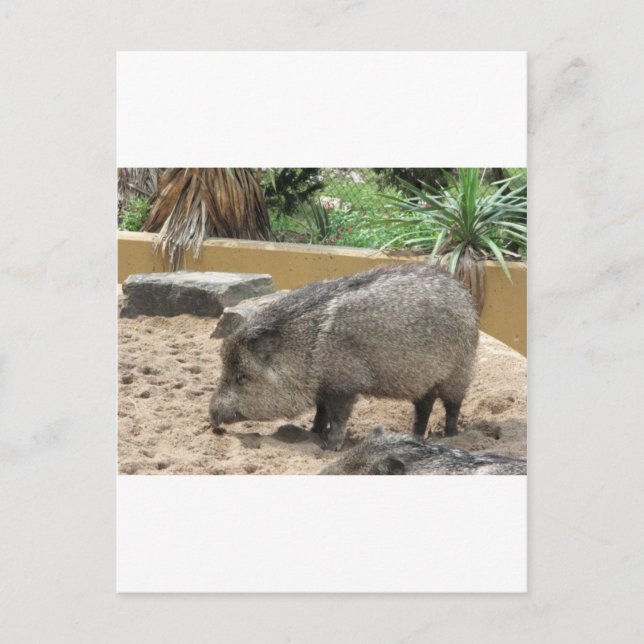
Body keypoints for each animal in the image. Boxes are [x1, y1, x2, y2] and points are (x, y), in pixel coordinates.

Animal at [209, 263, 479, 451]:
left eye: (241, 378)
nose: (211, 418)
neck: (307, 349)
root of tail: (466, 296)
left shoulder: (343, 386)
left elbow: (337, 417)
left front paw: (331, 446)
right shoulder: (323, 387)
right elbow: (321, 411)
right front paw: (314, 432)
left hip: (458, 372)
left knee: (453, 405)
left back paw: (451, 435)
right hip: (423, 380)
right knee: (424, 406)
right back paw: (415, 436)